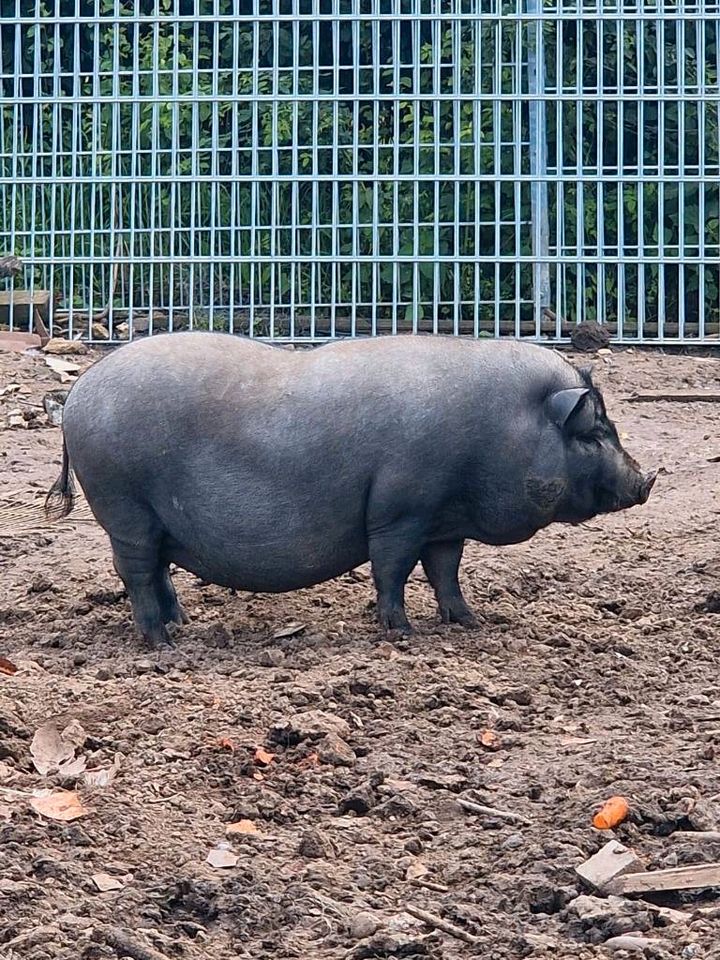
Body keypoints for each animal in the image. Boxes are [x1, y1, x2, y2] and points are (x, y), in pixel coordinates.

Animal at [43, 332, 652, 644]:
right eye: (591, 432)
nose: (645, 479)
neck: (498, 427)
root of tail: (76, 397)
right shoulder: (401, 509)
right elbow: (392, 567)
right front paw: (399, 632)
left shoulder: (443, 519)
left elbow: (445, 571)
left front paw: (471, 622)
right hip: (124, 508)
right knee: (137, 574)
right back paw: (163, 644)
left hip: (150, 519)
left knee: (160, 573)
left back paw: (183, 624)